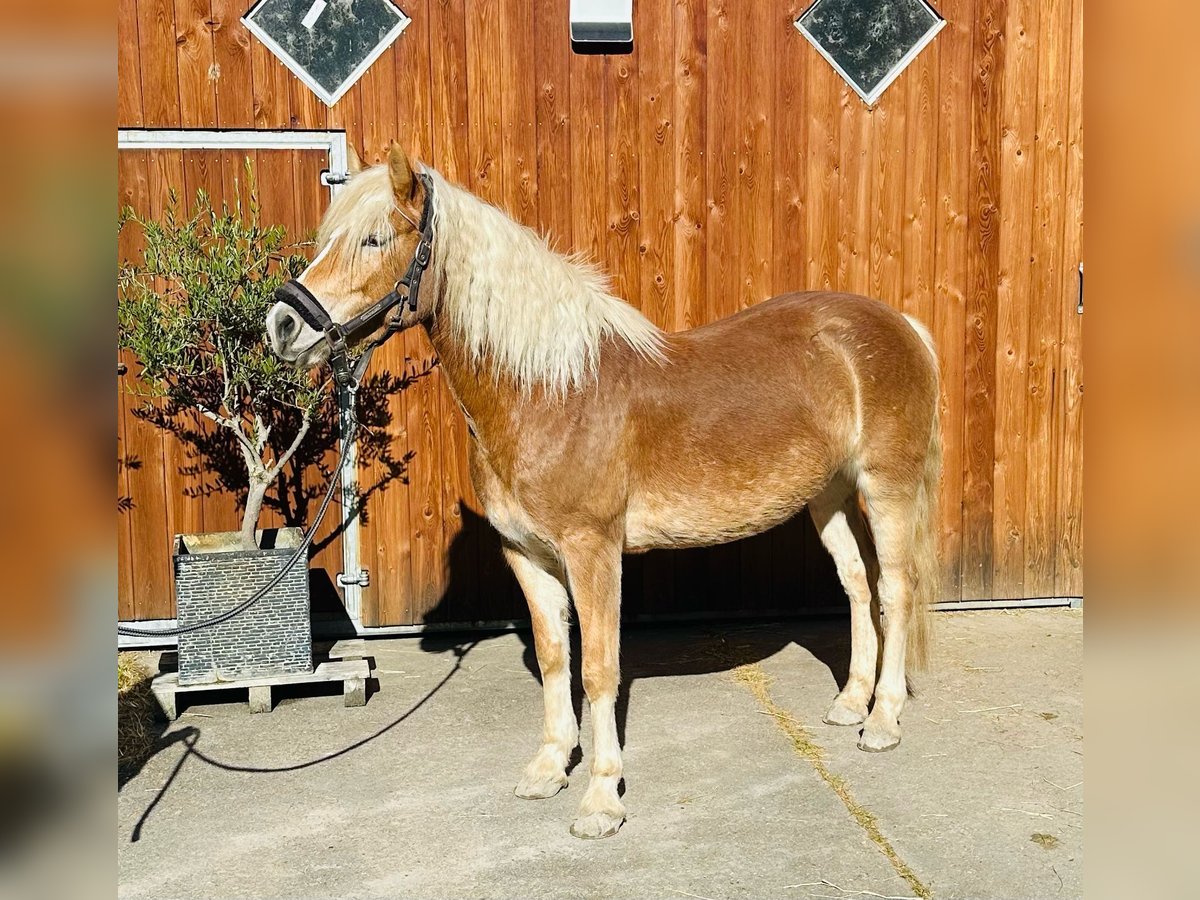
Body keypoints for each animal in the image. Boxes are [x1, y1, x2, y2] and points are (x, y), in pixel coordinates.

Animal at [267, 144, 940, 844]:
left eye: (373, 239)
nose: (281, 325)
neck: (550, 393)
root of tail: (901, 325)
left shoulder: (593, 550)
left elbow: (597, 670)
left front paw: (600, 799)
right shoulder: (526, 555)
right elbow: (555, 659)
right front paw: (548, 769)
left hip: (886, 488)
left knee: (894, 589)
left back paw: (882, 721)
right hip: (827, 496)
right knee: (857, 585)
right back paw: (850, 703)